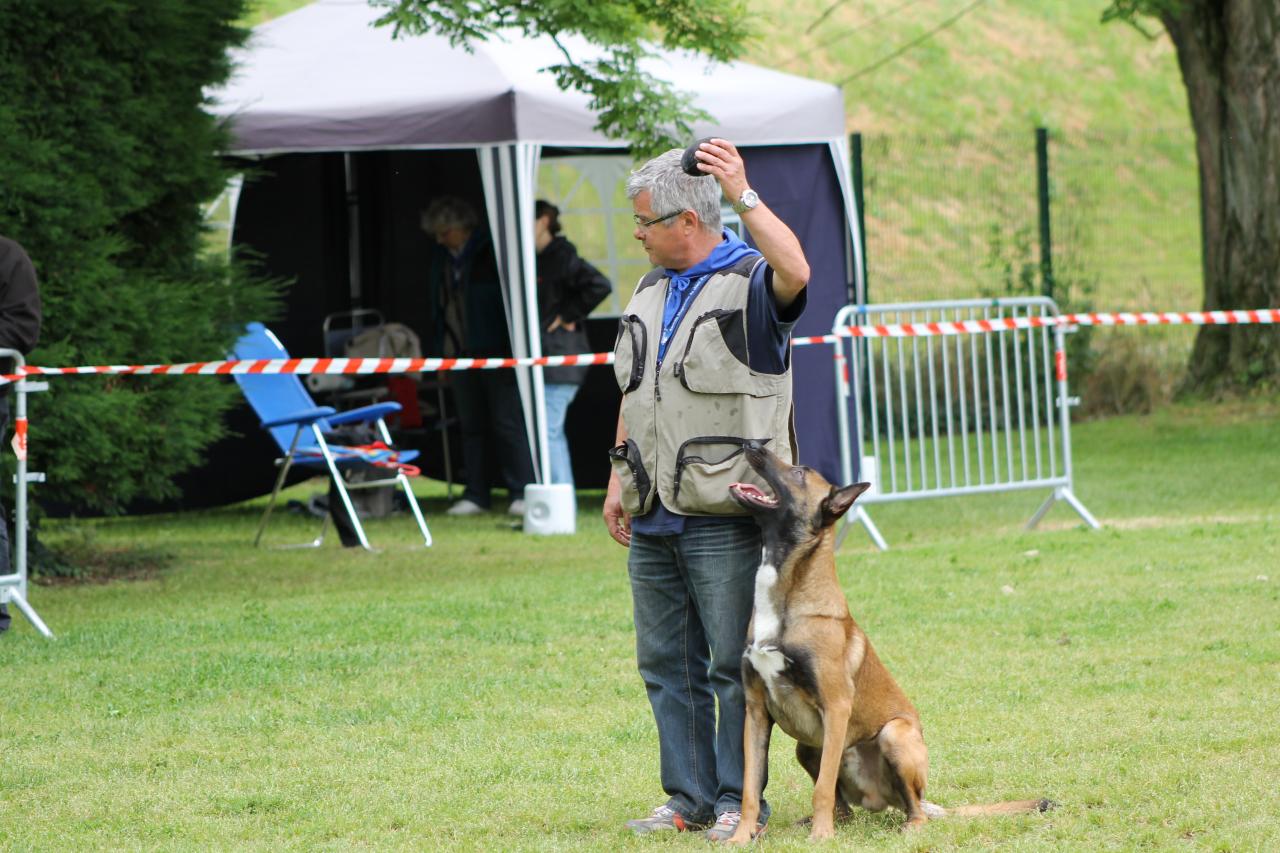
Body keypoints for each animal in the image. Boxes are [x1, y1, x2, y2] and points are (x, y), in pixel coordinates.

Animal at [727, 440, 1054, 840]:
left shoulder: (836, 706)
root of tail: (881, 799)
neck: (787, 599)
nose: (750, 444)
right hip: (806, 747)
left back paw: (907, 825)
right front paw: (740, 837)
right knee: (844, 807)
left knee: (912, 808)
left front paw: (820, 838)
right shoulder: (756, 711)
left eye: (800, 472)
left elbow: (821, 789)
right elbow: (750, 787)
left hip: (895, 735)